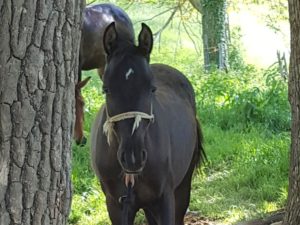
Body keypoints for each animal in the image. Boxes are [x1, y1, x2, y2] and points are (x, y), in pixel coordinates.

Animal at [90, 22, 205, 224]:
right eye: (106, 89)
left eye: (151, 88)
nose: (133, 157)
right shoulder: (116, 206)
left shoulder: (165, 199)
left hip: (182, 189)